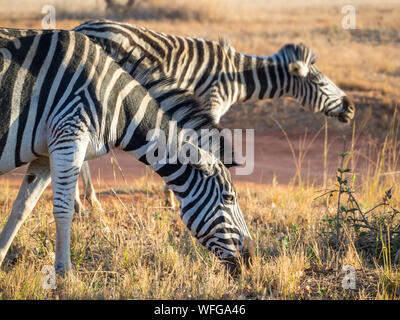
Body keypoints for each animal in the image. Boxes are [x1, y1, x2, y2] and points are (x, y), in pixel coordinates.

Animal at [0, 30, 255, 276]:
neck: (116, 101)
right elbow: (63, 210)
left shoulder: (45, 153)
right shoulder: (68, 134)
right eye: (229, 198)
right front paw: (65, 275)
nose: (251, 259)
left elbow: (22, 207)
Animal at [73, 20, 354, 209]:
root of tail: (81, 27)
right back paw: (84, 202)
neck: (235, 74)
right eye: (321, 83)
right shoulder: (211, 103)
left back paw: (89, 199)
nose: (351, 108)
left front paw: (170, 196)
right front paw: (173, 197)